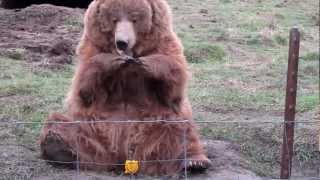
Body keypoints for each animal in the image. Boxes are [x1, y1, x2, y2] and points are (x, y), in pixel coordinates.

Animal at [40, 0, 211, 176]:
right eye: (114, 19)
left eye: (134, 19)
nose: (122, 42)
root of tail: (122, 157)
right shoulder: (91, 47)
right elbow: (84, 87)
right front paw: (112, 60)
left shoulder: (164, 44)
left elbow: (173, 84)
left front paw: (146, 63)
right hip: (97, 126)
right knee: (69, 127)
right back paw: (58, 145)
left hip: (152, 125)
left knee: (179, 129)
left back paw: (193, 161)